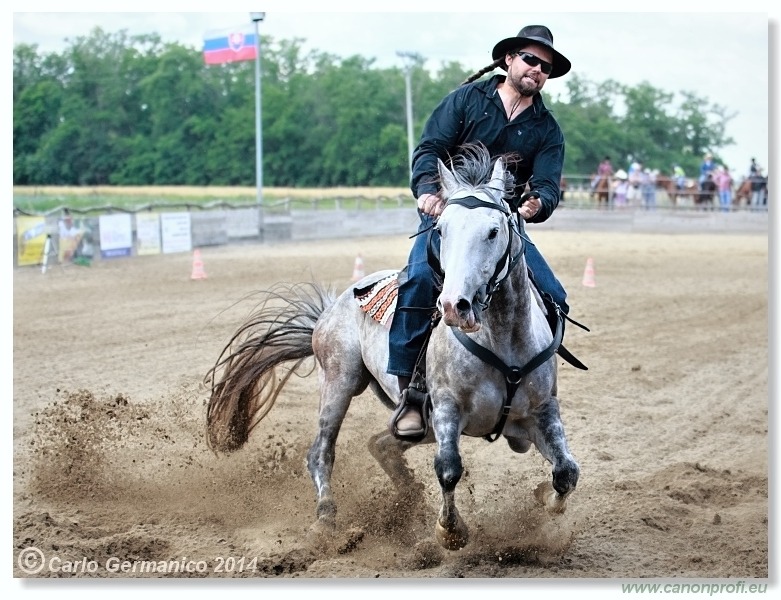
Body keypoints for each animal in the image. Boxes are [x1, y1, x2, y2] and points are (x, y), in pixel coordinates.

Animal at [207, 143, 580, 552]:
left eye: (494, 231)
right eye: (441, 229)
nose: (455, 306)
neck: (502, 339)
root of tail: (332, 307)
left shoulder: (542, 412)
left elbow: (566, 471)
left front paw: (543, 496)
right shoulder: (447, 407)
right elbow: (449, 468)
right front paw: (450, 531)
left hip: (414, 422)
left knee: (381, 444)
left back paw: (407, 499)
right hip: (340, 382)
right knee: (321, 452)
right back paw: (327, 521)